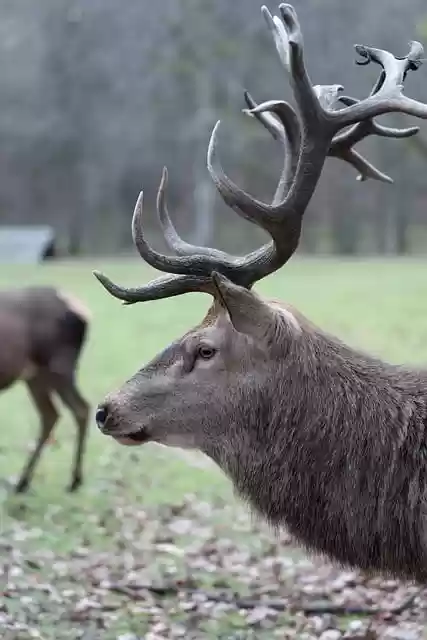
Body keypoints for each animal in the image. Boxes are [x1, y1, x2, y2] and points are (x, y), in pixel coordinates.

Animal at [0, 285, 90, 493]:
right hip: (35, 376)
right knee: (51, 414)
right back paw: (23, 482)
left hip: (58, 366)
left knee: (81, 408)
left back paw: (74, 481)